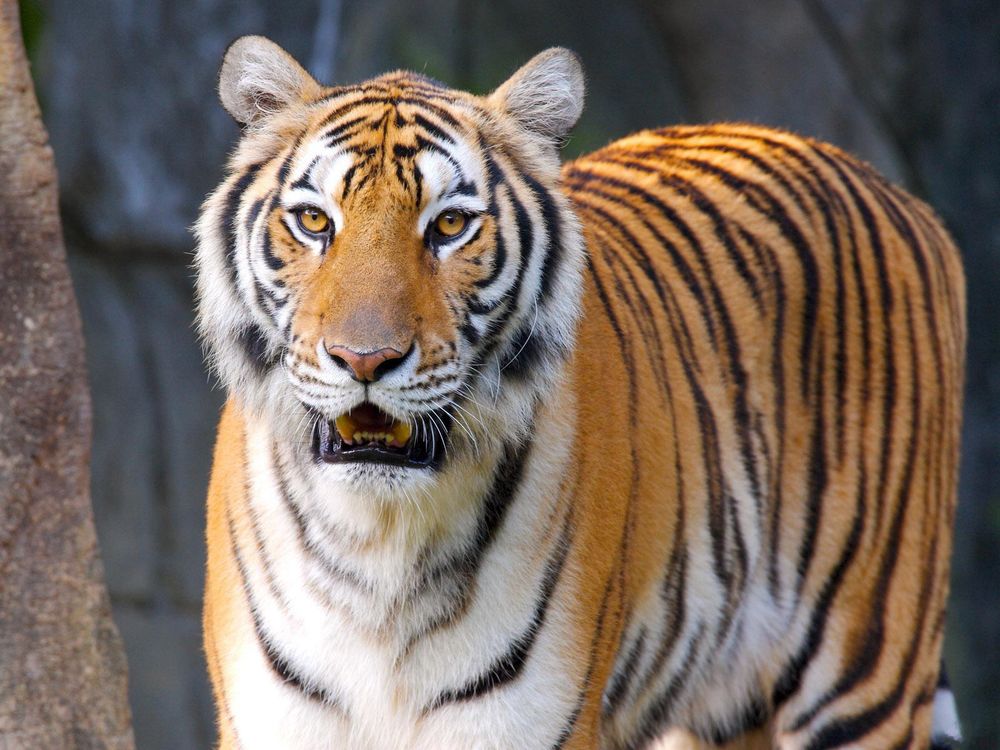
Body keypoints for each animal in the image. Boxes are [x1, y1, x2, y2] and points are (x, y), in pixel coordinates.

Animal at [194, 36, 966, 750]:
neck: (376, 544)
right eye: (314, 221)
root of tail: (895, 192)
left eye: (450, 225)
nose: (365, 359)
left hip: (868, 675)